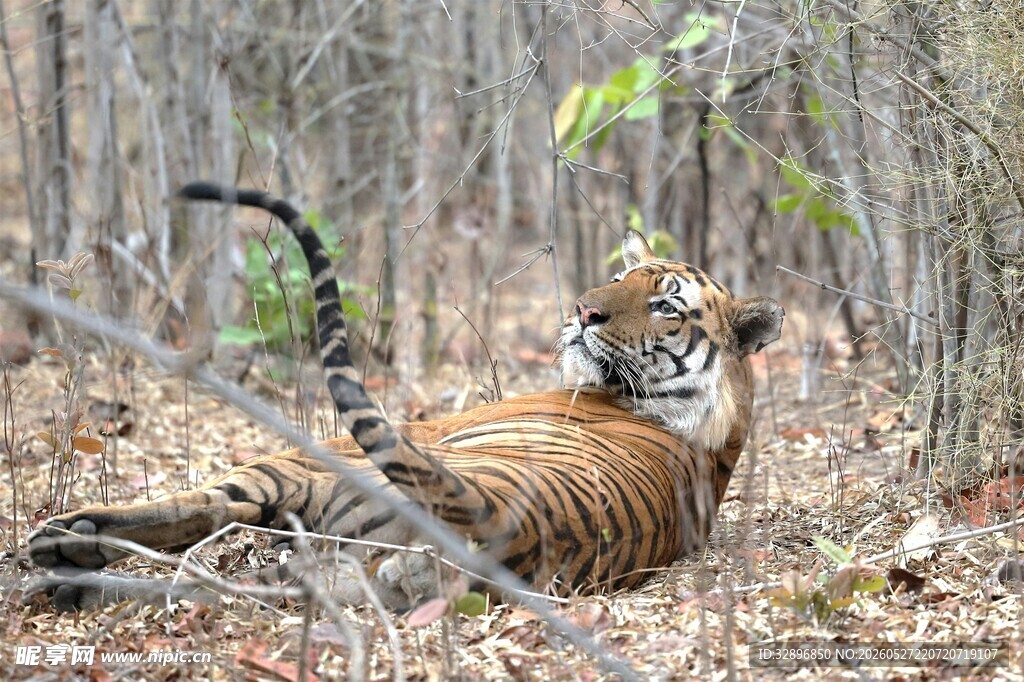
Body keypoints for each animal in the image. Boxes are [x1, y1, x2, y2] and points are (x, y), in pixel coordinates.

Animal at [27, 182, 783, 611]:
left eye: (664, 306)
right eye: (623, 277)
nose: (582, 310)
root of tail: (499, 517)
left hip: (311, 470)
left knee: (210, 505)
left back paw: (65, 545)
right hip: (331, 566)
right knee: (213, 580)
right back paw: (71, 580)